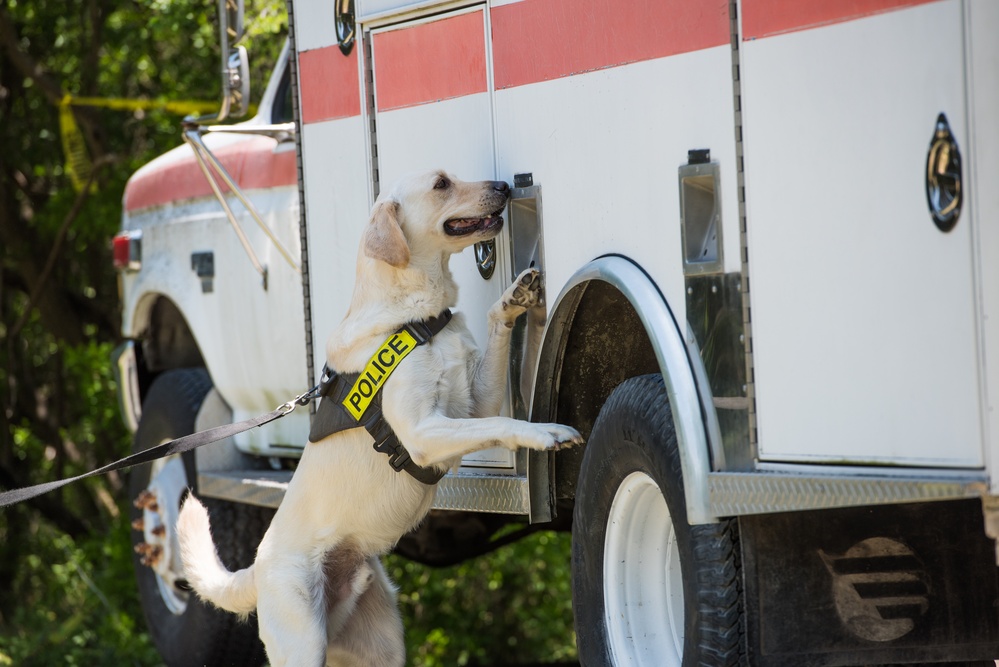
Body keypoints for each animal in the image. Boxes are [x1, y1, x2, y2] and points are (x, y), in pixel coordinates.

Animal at [176, 172, 584, 667]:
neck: (420, 319)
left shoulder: (476, 402)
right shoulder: (423, 432)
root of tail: (256, 569)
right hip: (302, 641)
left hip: (382, 645)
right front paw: (546, 433)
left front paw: (513, 298)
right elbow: (503, 426)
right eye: (442, 183)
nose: (504, 185)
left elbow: (492, 354)